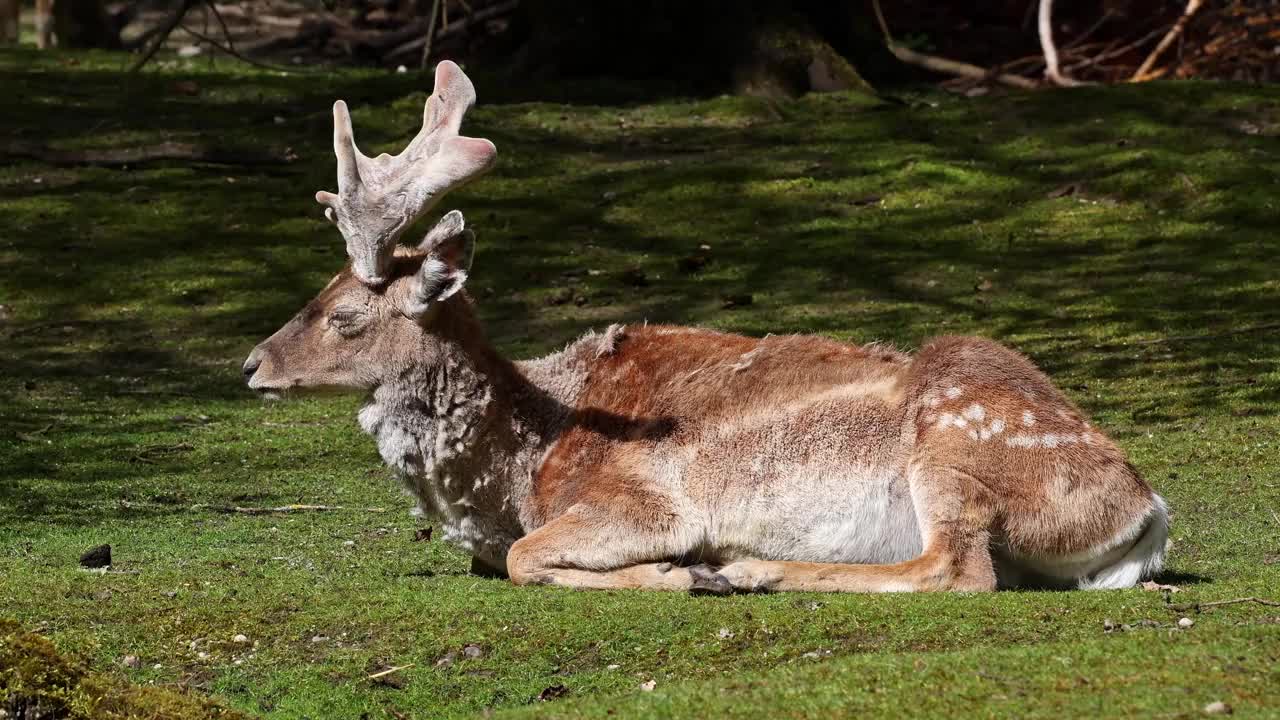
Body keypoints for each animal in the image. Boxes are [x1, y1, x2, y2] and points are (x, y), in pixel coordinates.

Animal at [241, 61, 1172, 591]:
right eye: (317, 291)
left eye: (346, 315)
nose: (251, 364)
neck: (517, 473)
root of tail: (1145, 509)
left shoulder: (641, 502)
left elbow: (522, 558)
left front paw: (675, 574)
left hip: (957, 447)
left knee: (961, 569)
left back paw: (746, 570)